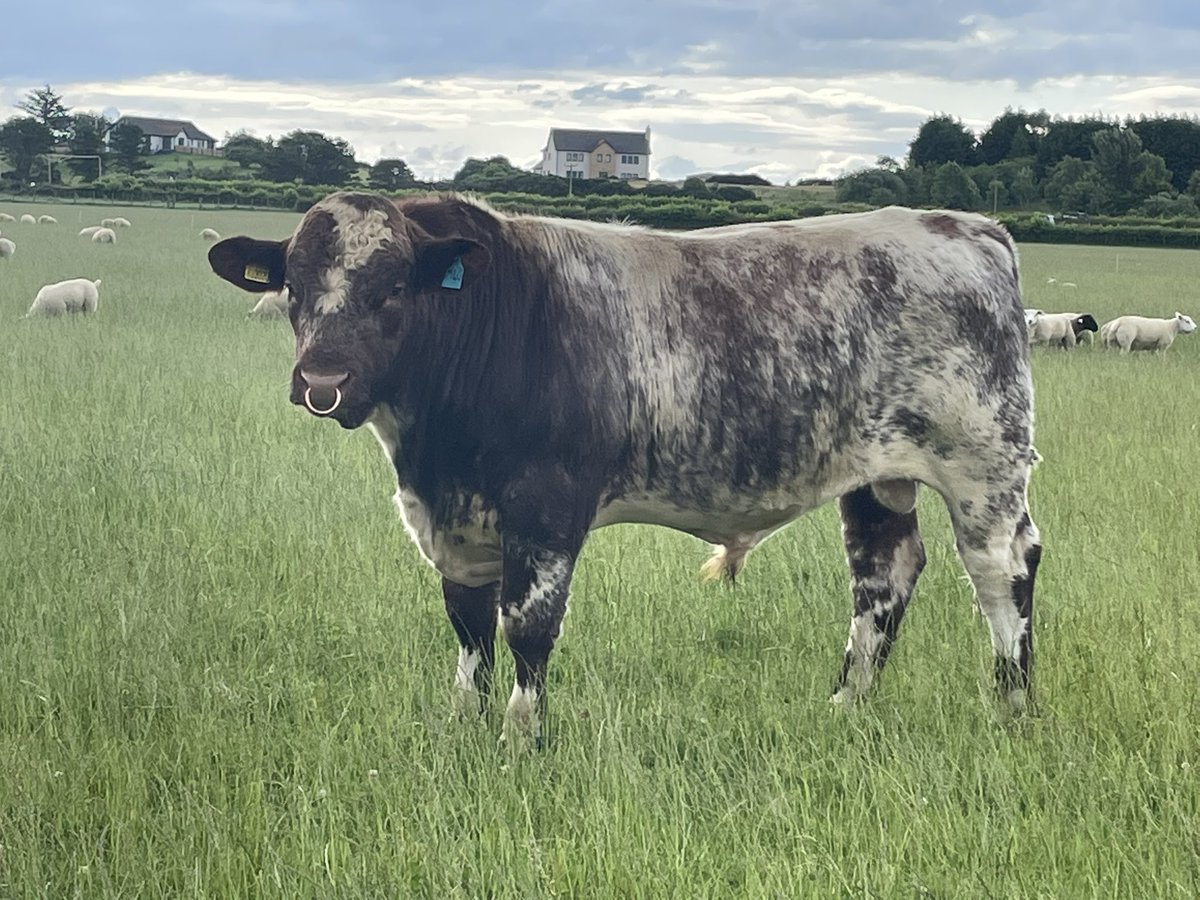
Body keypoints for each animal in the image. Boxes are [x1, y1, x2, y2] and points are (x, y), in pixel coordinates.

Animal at [208, 192, 1043, 748]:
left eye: (392, 288)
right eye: (293, 286)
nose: (322, 380)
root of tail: (971, 228)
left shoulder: (544, 505)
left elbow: (526, 624)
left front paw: (521, 736)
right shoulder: (455, 520)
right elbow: (469, 624)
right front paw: (464, 722)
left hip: (985, 463)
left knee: (1002, 570)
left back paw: (1012, 707)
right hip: (875, 477)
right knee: (884, 576)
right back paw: (846, 705)